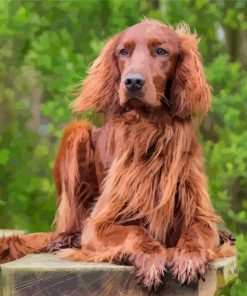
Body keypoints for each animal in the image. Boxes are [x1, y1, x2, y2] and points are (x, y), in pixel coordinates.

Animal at [0, 20, 235, 290]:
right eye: (124, 51)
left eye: (161, 51)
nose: (132, 81)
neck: (151, 130)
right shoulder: (99, 224)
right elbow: (135, 231)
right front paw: (151, 258)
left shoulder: (197, 211)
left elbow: (196, 231)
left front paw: (190, 257)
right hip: (76, 133)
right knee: (69, 225)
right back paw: (67, 238)